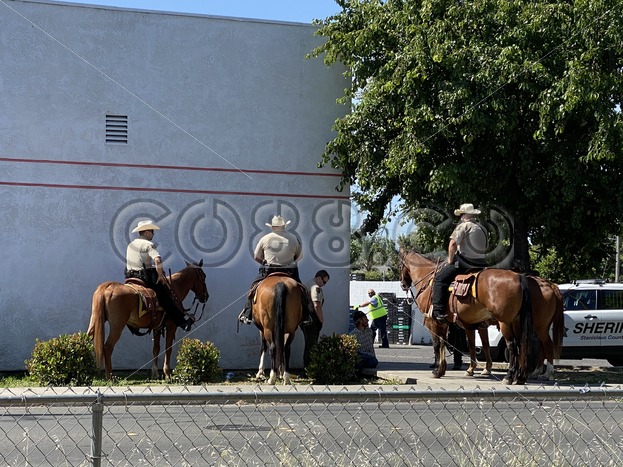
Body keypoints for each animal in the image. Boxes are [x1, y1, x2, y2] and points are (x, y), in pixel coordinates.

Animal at [400, 250, 564, 386]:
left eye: (400, 264)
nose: (402, 284)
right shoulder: (470, 325)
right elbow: (477, 345)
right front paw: (475, 369)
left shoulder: (433, 322)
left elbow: (438, 344)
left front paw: (438, 370)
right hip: (523, 323)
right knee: (527, 345)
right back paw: (524, 376)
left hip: (516, 324)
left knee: (521, 345)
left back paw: (518, 376)